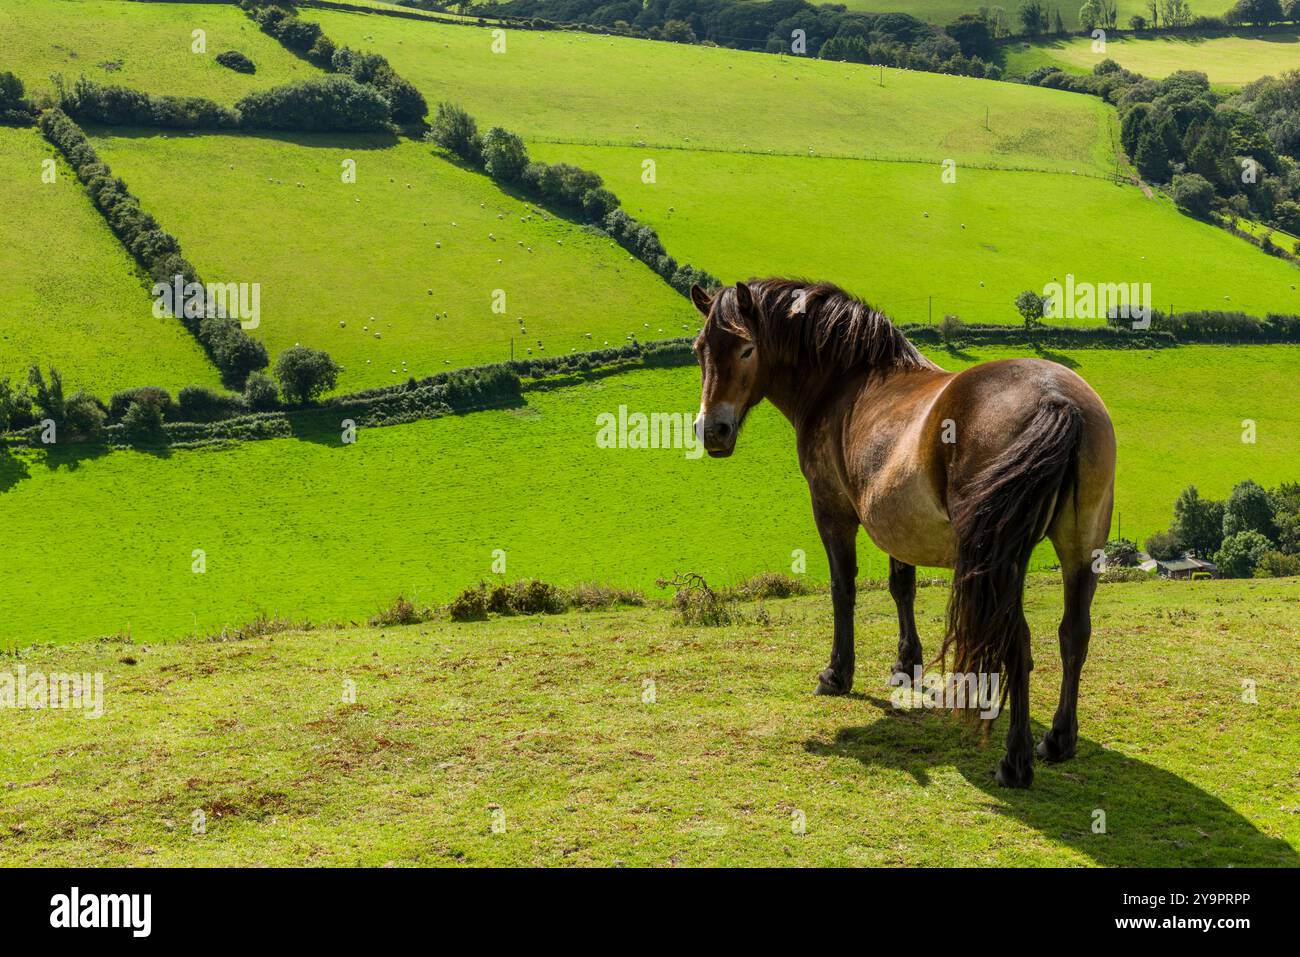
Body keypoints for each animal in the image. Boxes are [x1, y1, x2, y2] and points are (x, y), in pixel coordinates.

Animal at [691, 276, 1118, 785]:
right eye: (699, 349)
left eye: (746, 349)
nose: (712, 431)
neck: (845, 381)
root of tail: (1057, 399)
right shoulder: (897, 522)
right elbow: (902, 586)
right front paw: (906, 663)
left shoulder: (832, 512)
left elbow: (843, 589)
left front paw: (837, 674)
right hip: (1081, 548)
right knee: (1074, 633)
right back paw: (1057, 740)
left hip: (1004, 558)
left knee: (1017, 639)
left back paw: (1014, 762)